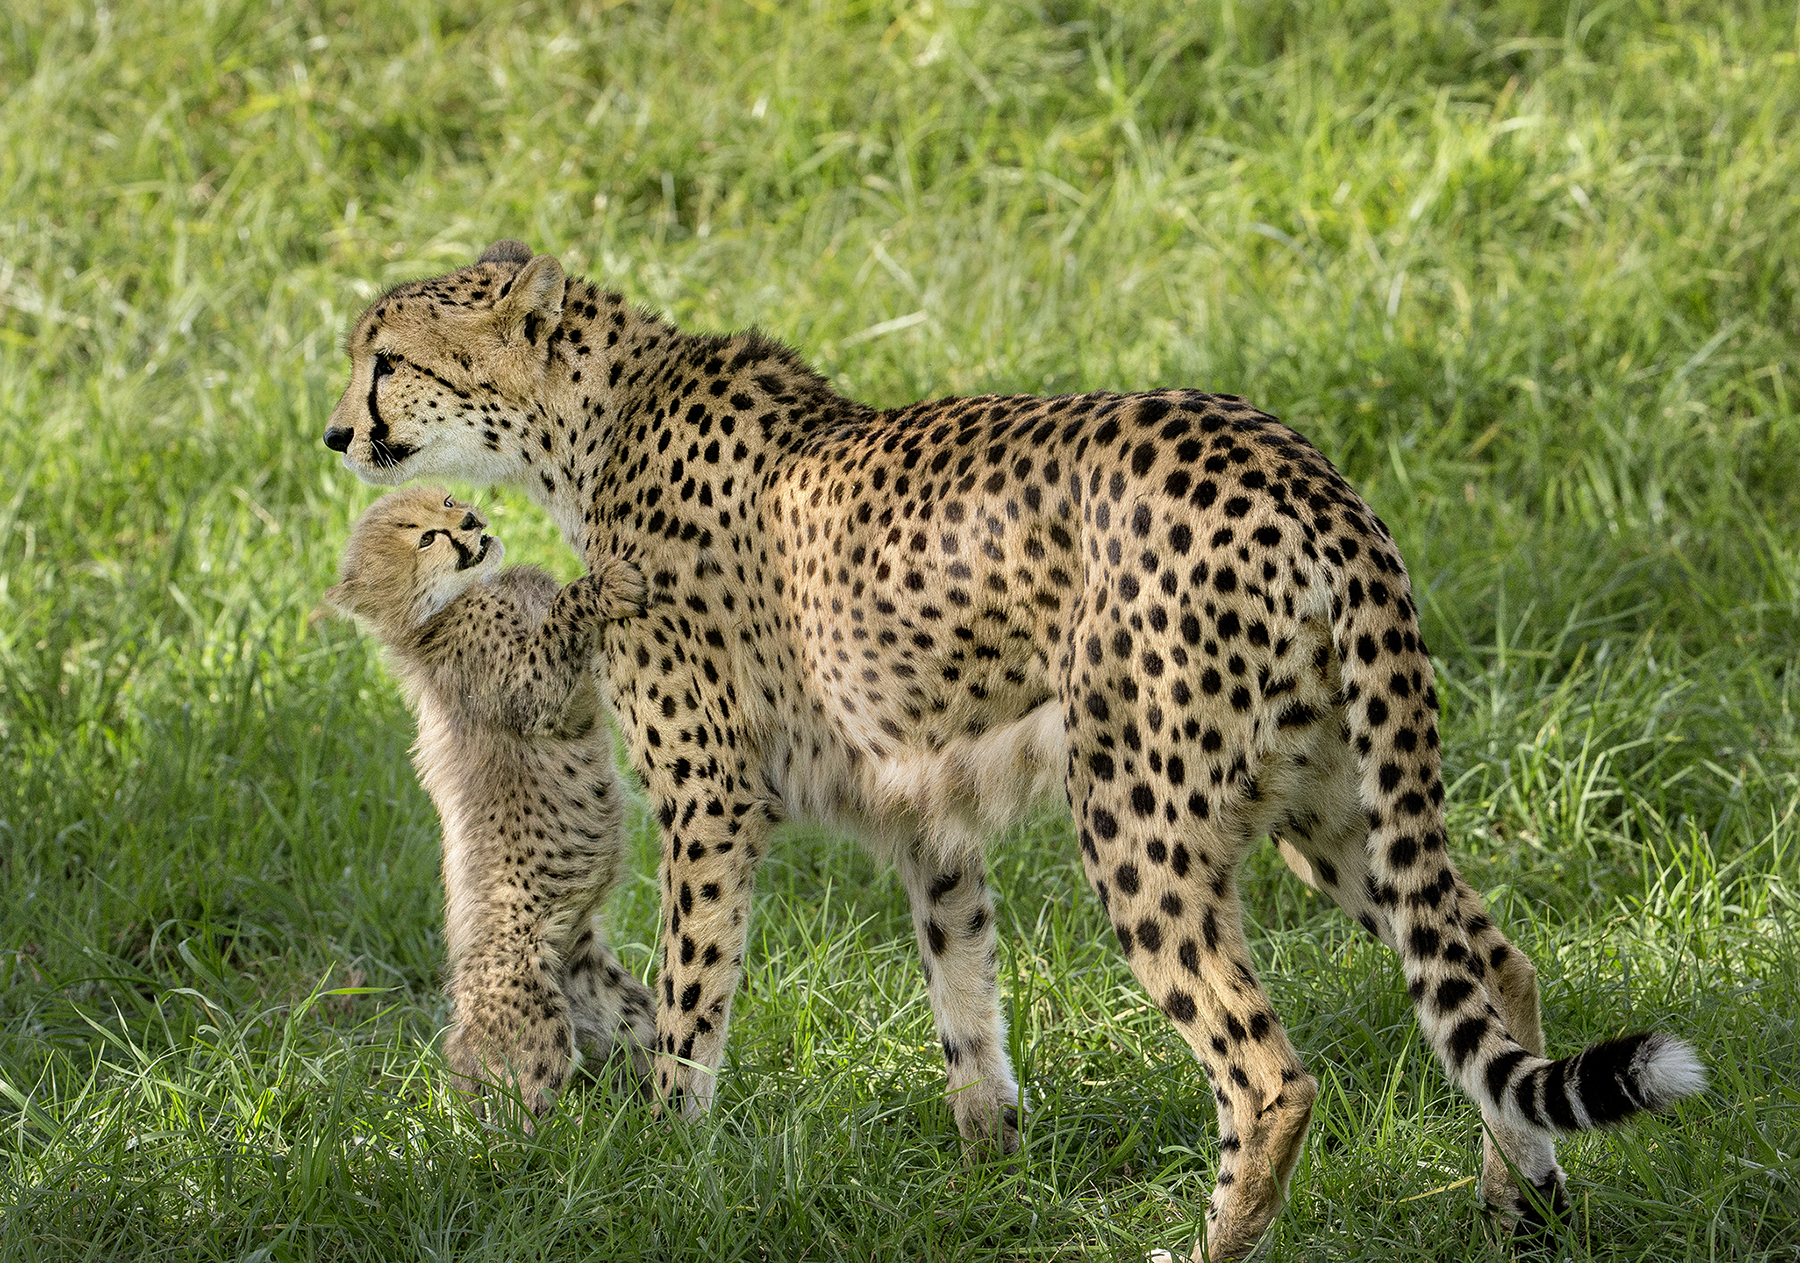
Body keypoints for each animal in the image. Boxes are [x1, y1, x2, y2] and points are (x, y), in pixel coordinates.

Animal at [320, 242, 1699, 1259]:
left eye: (387, 359)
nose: (336, 435)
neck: (594, 419)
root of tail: (1296, 464)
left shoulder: (708, 800)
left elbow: (691, 1001)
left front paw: (664, 1157)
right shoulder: (926, 808)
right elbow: (964, 997)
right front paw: (987, 1169)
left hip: (1138, 812)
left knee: (1268, 1071)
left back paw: (1216, 1244)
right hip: (1330, 799)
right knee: (1490, 964)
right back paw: (1524, 1202)